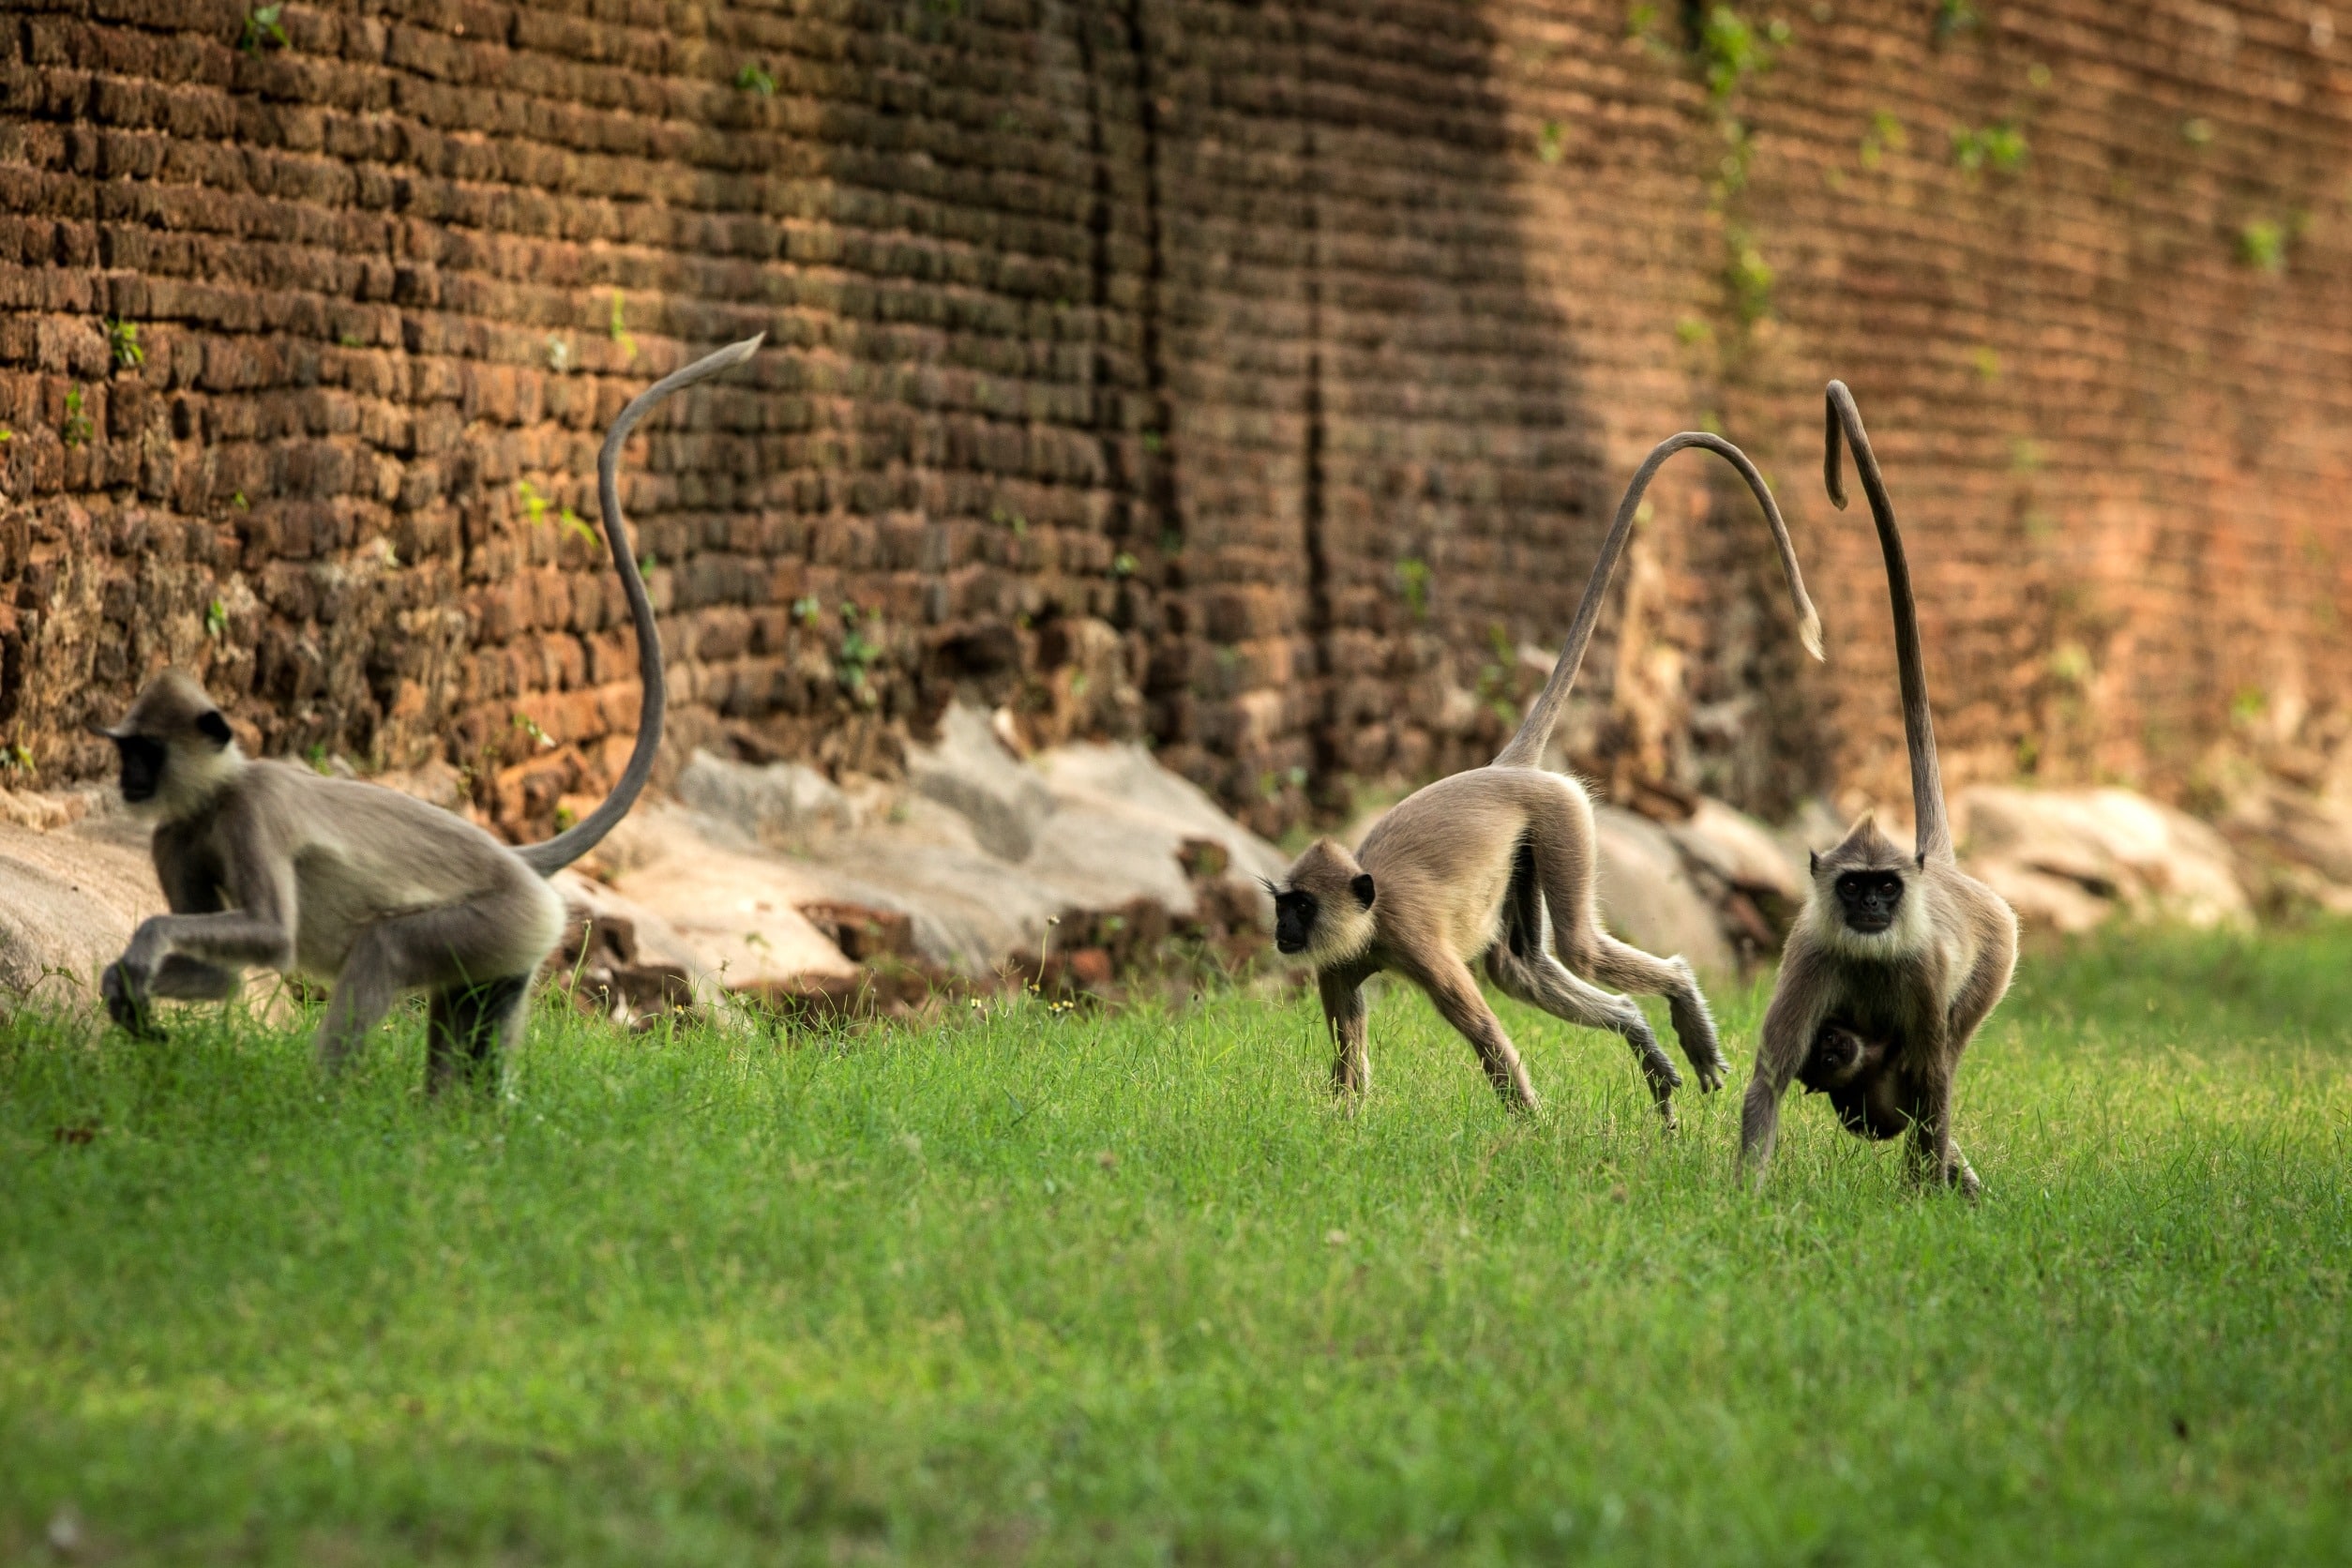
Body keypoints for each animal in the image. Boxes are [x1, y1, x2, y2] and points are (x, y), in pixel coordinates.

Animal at [96, 333, 761, 1091]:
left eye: (143, 752)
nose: (128, 781)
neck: (216, 797)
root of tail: (512, 862)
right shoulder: (173, 836)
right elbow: (224, 980)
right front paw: (122, 984)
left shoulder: (252, 810)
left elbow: (273, 936)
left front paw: (144, 947)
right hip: (510, 947)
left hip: (502, 921)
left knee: (384, 946)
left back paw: (326, 1098)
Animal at [1279, 434, 1825, 1123]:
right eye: (1284, 904)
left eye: (1301, 906)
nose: (1282, 931)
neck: (1368, 917)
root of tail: (1504, 769)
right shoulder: (1338, 963)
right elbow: (1350, 1056)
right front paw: (1343, 1127)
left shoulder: (1414, 940)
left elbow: (1484, 1032)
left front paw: (1530, 1130)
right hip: (1530, 843)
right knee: (1522, 968)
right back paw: (1637, 1028)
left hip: (1563, 814)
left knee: (1577, 948)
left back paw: (1676, 994)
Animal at [1749, 385, 2022, 1194]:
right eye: (1853, 887)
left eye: (1884, 888)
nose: (1871, 906)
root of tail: (1953, 875)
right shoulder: (1812, 955)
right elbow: (1770, 1080)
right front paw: (1741, 1195)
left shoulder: (1925, 972)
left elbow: (1932, 1080)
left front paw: (1919, 1199)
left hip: (1995, 958)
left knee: (1943, 1065)